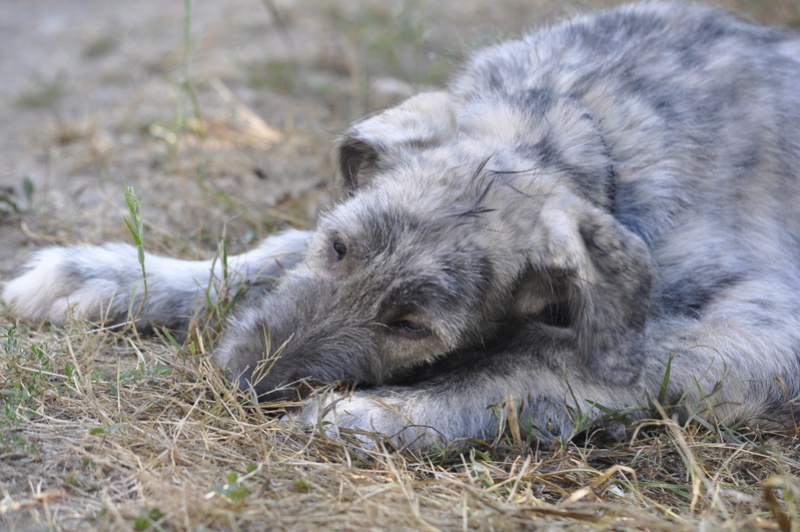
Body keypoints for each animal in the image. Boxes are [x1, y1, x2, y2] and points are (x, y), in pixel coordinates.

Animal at [1, 2, 800, 446]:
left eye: (412, 325)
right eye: (337, 247)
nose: (243, 385)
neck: (579, 130)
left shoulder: (761, 330)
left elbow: (554, 361)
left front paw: (385, 415)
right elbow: (266, 255)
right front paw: (107, 277)